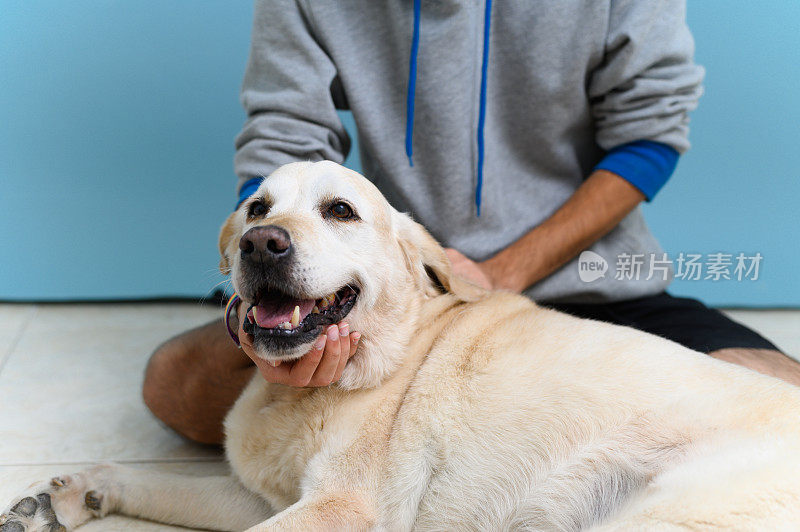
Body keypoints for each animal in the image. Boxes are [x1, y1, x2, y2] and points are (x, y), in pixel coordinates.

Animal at [4, 160, 800, 528]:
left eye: (340, 211)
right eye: (257, 207)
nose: (262, 243)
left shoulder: (341, 509)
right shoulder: (259, 498)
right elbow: (154, 482)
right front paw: (78, 492)